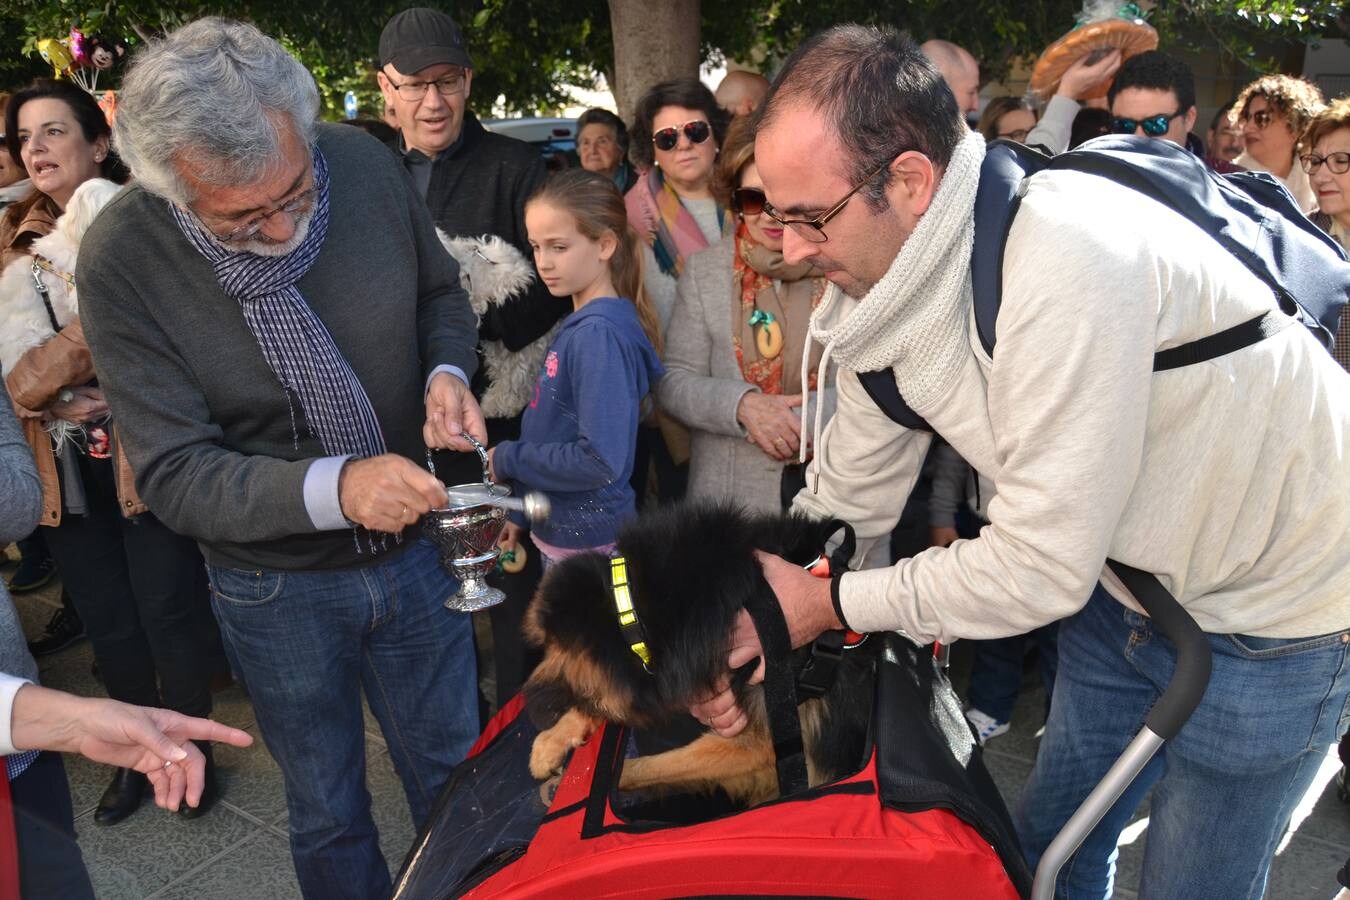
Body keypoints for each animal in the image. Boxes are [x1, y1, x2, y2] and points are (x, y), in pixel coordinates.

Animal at [515, 504, 874, 804]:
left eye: (558, 651)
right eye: (547, 646)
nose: (529, 706)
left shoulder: (758, 742)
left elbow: (654, 765)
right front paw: (552, 742)